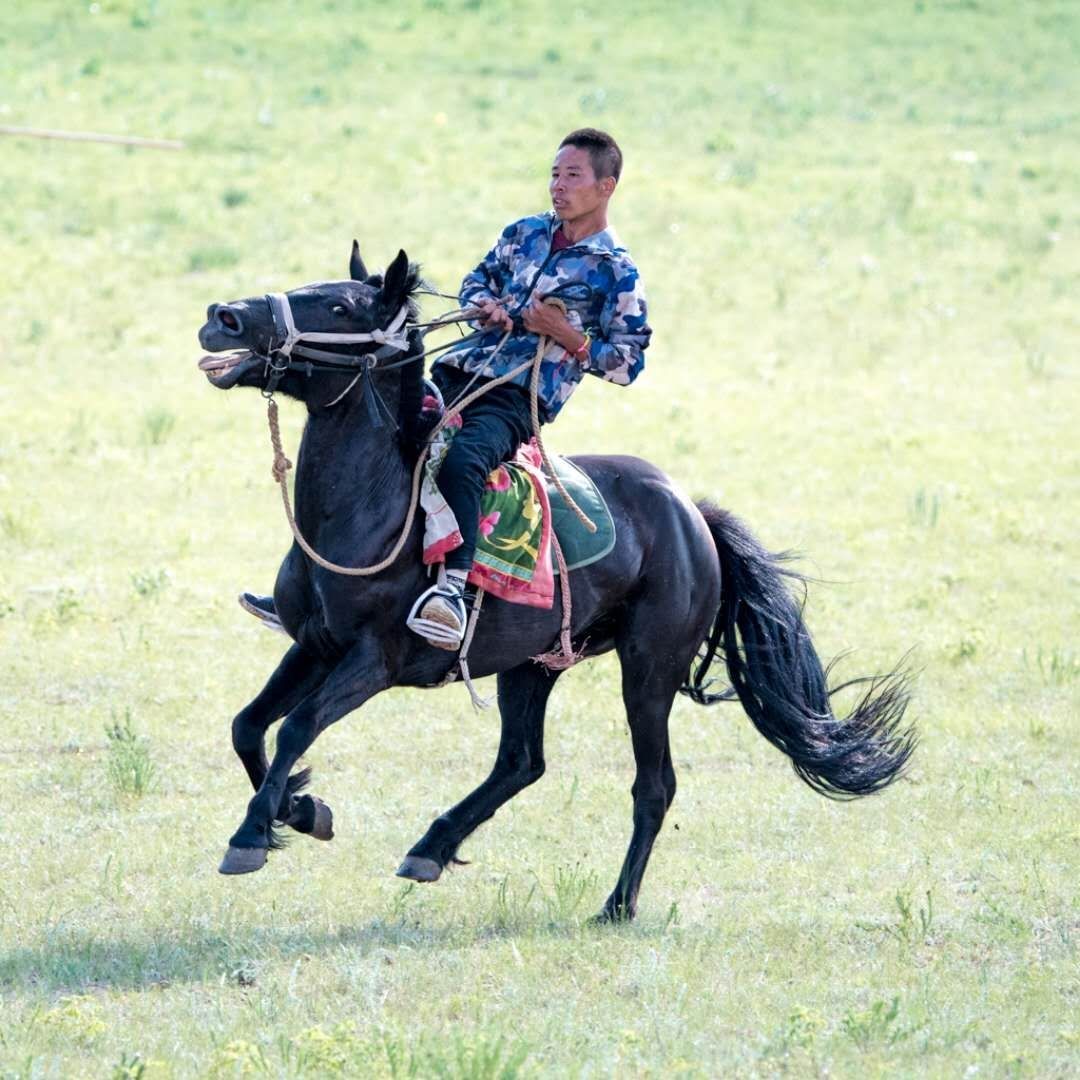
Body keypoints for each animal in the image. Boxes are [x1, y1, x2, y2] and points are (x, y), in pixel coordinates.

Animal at [194, 243, 911, 920]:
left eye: (340, 306)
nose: (222, 316)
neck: (373, 508)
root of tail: (691, 514)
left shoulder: (373, 660)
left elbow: (295, 727)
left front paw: (253, 835)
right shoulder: (313, 646)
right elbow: (248, 726)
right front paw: (301, 809)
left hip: (648, 670)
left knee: (653, 785)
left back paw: (616, 904)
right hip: (531, 665)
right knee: (522, 762)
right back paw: (431, 848)